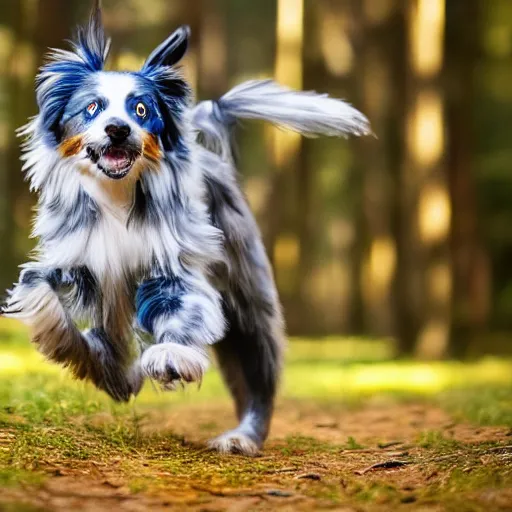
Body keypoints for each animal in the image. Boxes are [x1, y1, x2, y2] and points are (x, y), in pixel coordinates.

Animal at [0, 2, 368, 454]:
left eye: (141, 109)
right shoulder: (80, 265)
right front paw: (75, 347)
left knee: (258, 374)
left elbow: (182, 312)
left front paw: (169, 356)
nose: (117, 129)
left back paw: (243, 436)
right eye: (92, 108)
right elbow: (42, 289)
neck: (117, 196)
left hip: (247, 297)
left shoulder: (173, 268)